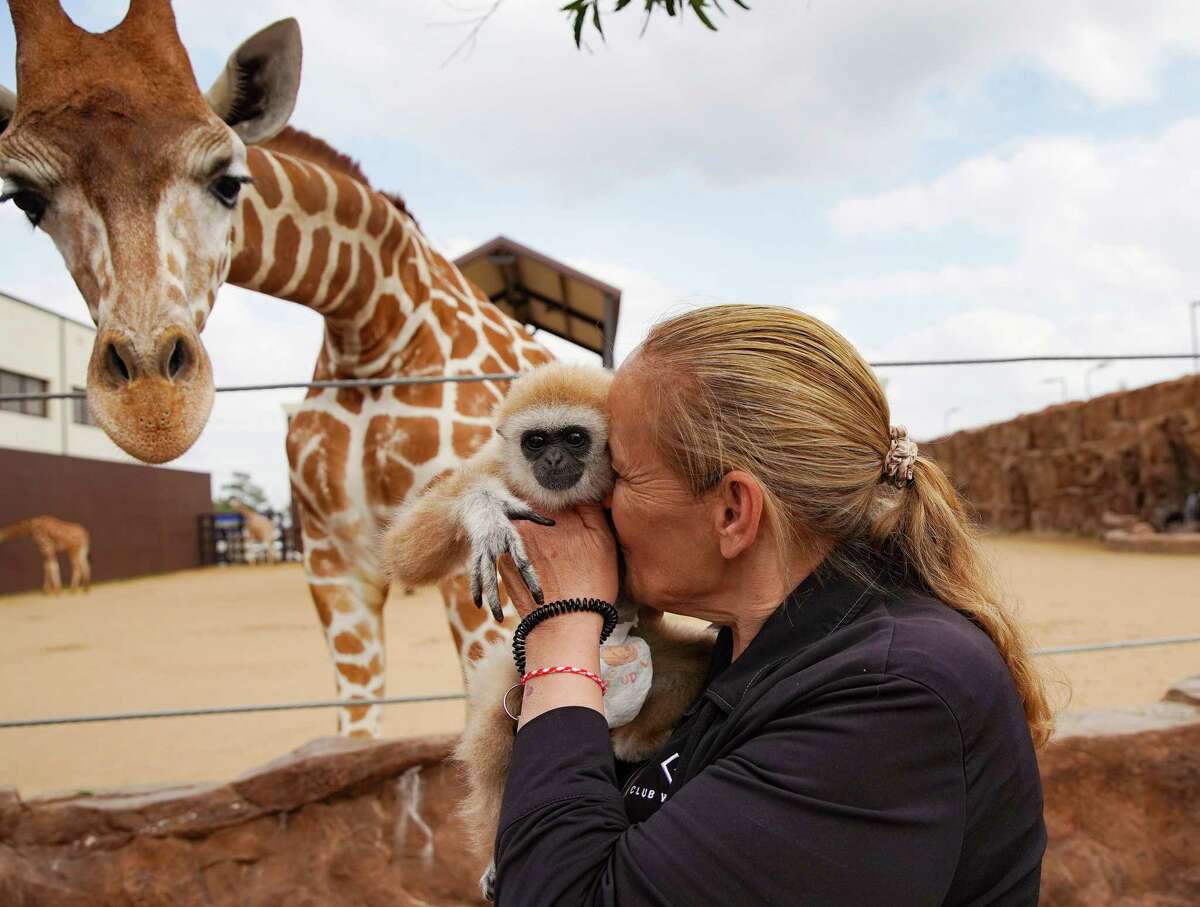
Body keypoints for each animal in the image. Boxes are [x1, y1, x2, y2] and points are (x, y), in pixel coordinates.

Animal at [0, 1, 552, 739]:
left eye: (228, 178)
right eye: (26, 200)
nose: (153, 410)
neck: (372, 324)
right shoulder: (331, 560)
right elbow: (358, 726)